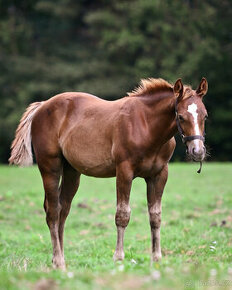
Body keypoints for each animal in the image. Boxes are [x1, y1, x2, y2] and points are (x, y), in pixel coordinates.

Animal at [9, 77, 208, 270]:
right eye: (181, 116)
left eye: (205, 115)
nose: (197, 151)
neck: (146, 125)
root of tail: (42, 106)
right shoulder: (124, 171)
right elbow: (122, 215)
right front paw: (118, 258)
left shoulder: (159, 175)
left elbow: (155, 216)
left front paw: (156, 259)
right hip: (50, 166)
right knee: (52, 211)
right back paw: (58, 262)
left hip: (71, 171)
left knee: (62, 210)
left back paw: (60, 260)